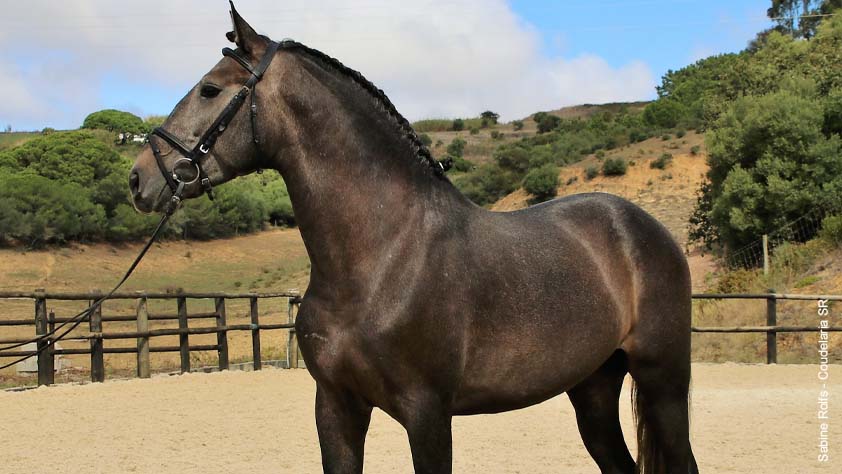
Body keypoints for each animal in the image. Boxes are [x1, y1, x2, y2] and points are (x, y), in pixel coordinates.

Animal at [130, 4, 698, 473]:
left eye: (209, 89)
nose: (139, 178)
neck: (382, 257)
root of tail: (642, 227)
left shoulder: (427, 414)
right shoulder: (335, 406)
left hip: (663, 380)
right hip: (593, 391)